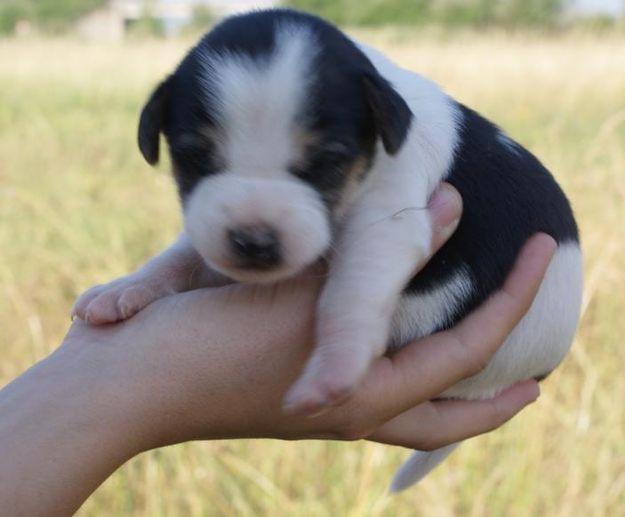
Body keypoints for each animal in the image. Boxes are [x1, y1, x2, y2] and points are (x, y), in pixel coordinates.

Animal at [73, 10, 580, 490]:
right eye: (192, 156)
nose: (253, 241)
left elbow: (351, 292)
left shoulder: (388, 219)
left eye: (328, 161)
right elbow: (179, 256)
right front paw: (127, 288)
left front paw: (336, 363)